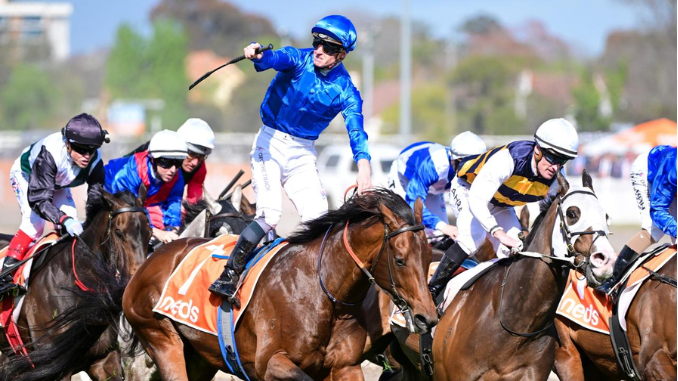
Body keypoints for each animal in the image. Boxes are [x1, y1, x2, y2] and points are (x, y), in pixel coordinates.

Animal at [124, 188, 438, 380]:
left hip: (200, 356)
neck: (322, 293)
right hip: (160, 336)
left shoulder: (345, 366)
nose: (428, 318)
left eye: (427, 259)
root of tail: (153, 257)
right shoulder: (269, 363)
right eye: (399, 259)